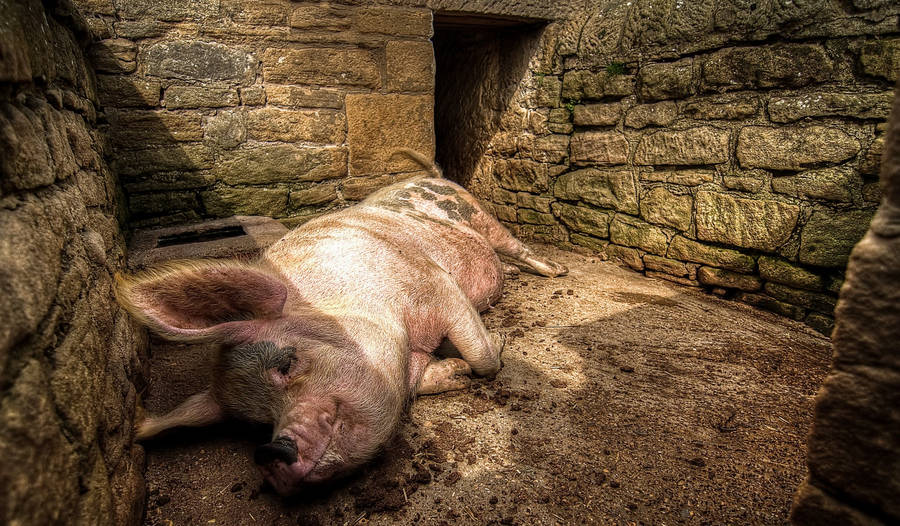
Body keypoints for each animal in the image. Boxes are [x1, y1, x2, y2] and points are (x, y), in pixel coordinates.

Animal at [117, 150, 567, 495]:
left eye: (287, 363)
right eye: (254, 423)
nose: (269, 453)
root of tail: (431, 176)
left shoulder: (435, 285)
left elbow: (484, 358)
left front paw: (493, 348)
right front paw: (455, 372)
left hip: (478, 213)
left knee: (515, 245)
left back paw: (556, 271)